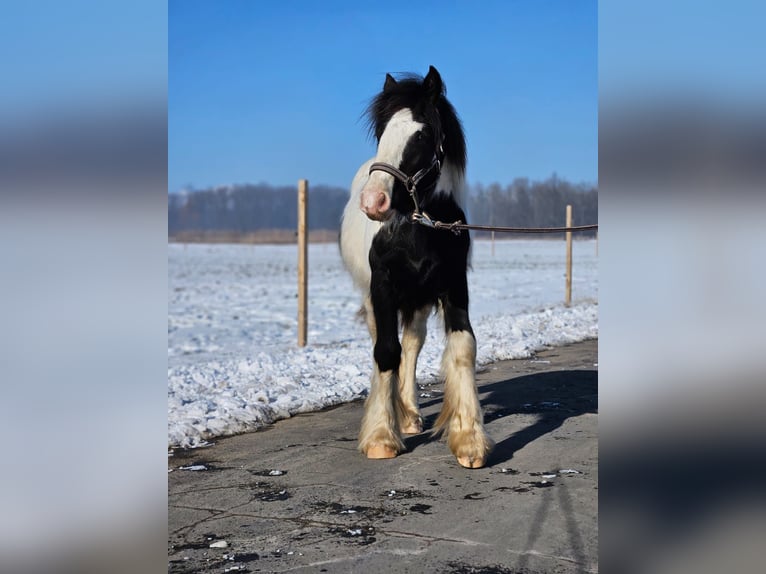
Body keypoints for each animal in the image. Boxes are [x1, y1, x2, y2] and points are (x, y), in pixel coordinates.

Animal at [340, 66, 496, 472]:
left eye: (422, 134)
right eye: (381, 132)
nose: (373, 201)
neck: (419, 226)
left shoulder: (453, 286)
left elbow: (463, 347)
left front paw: (469, 440)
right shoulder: (382, 287)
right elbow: (385, 352)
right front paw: (381, 437)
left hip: (419, 301)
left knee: (411, 344)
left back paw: (408, 414)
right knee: (386, 345)